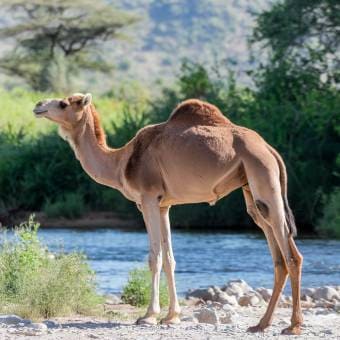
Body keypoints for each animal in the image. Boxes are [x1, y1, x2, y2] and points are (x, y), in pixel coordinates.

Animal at [32, 93, 302, 334]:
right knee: (276, 251)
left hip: (262, 175)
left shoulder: (148, 199)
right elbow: (170, 258)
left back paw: (293, 326)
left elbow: (155, 257)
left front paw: (149, 316)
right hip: (250, 186)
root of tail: (270, 150)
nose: (38, 105)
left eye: (63, 103)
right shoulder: (164, 205)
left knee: (291, 256)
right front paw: (172, 317)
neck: (121, 162)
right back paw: (261, 324)